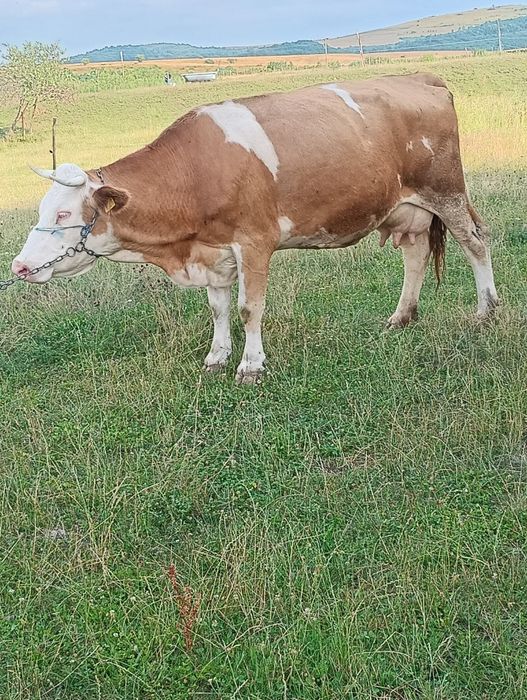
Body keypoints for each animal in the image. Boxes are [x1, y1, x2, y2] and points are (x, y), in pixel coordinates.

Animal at [12, 72, 499, 384]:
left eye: (63, 216)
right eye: (42, 209)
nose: (18, 266)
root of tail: (421, 77)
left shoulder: (254, 242)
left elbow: (249, 308)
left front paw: (250, 366)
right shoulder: (212, 252)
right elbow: (218, 309)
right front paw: (216, 357)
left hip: (446, 191)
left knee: (475, 242)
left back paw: (486, 311)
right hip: (404, 208)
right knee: (415, 255)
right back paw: (401, 317)